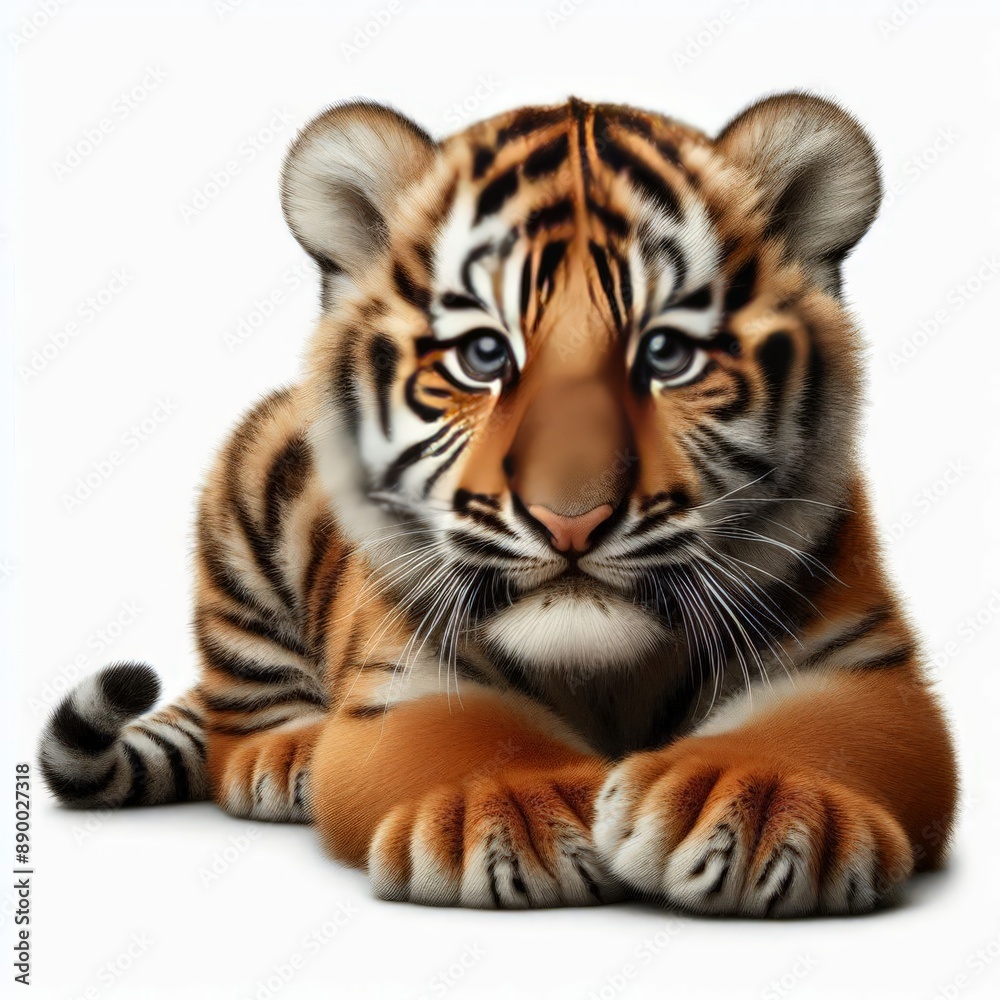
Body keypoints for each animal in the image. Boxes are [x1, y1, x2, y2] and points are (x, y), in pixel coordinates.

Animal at [38, 92, 958, 917]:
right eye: (483, 356)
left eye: (667, 354)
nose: (571, 517)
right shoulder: (402, 684)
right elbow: (472, 737)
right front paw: (517, 813)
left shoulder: (862, 669)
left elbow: (821, 739)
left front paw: (752, 806)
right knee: (240, 712)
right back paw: (290, 754)